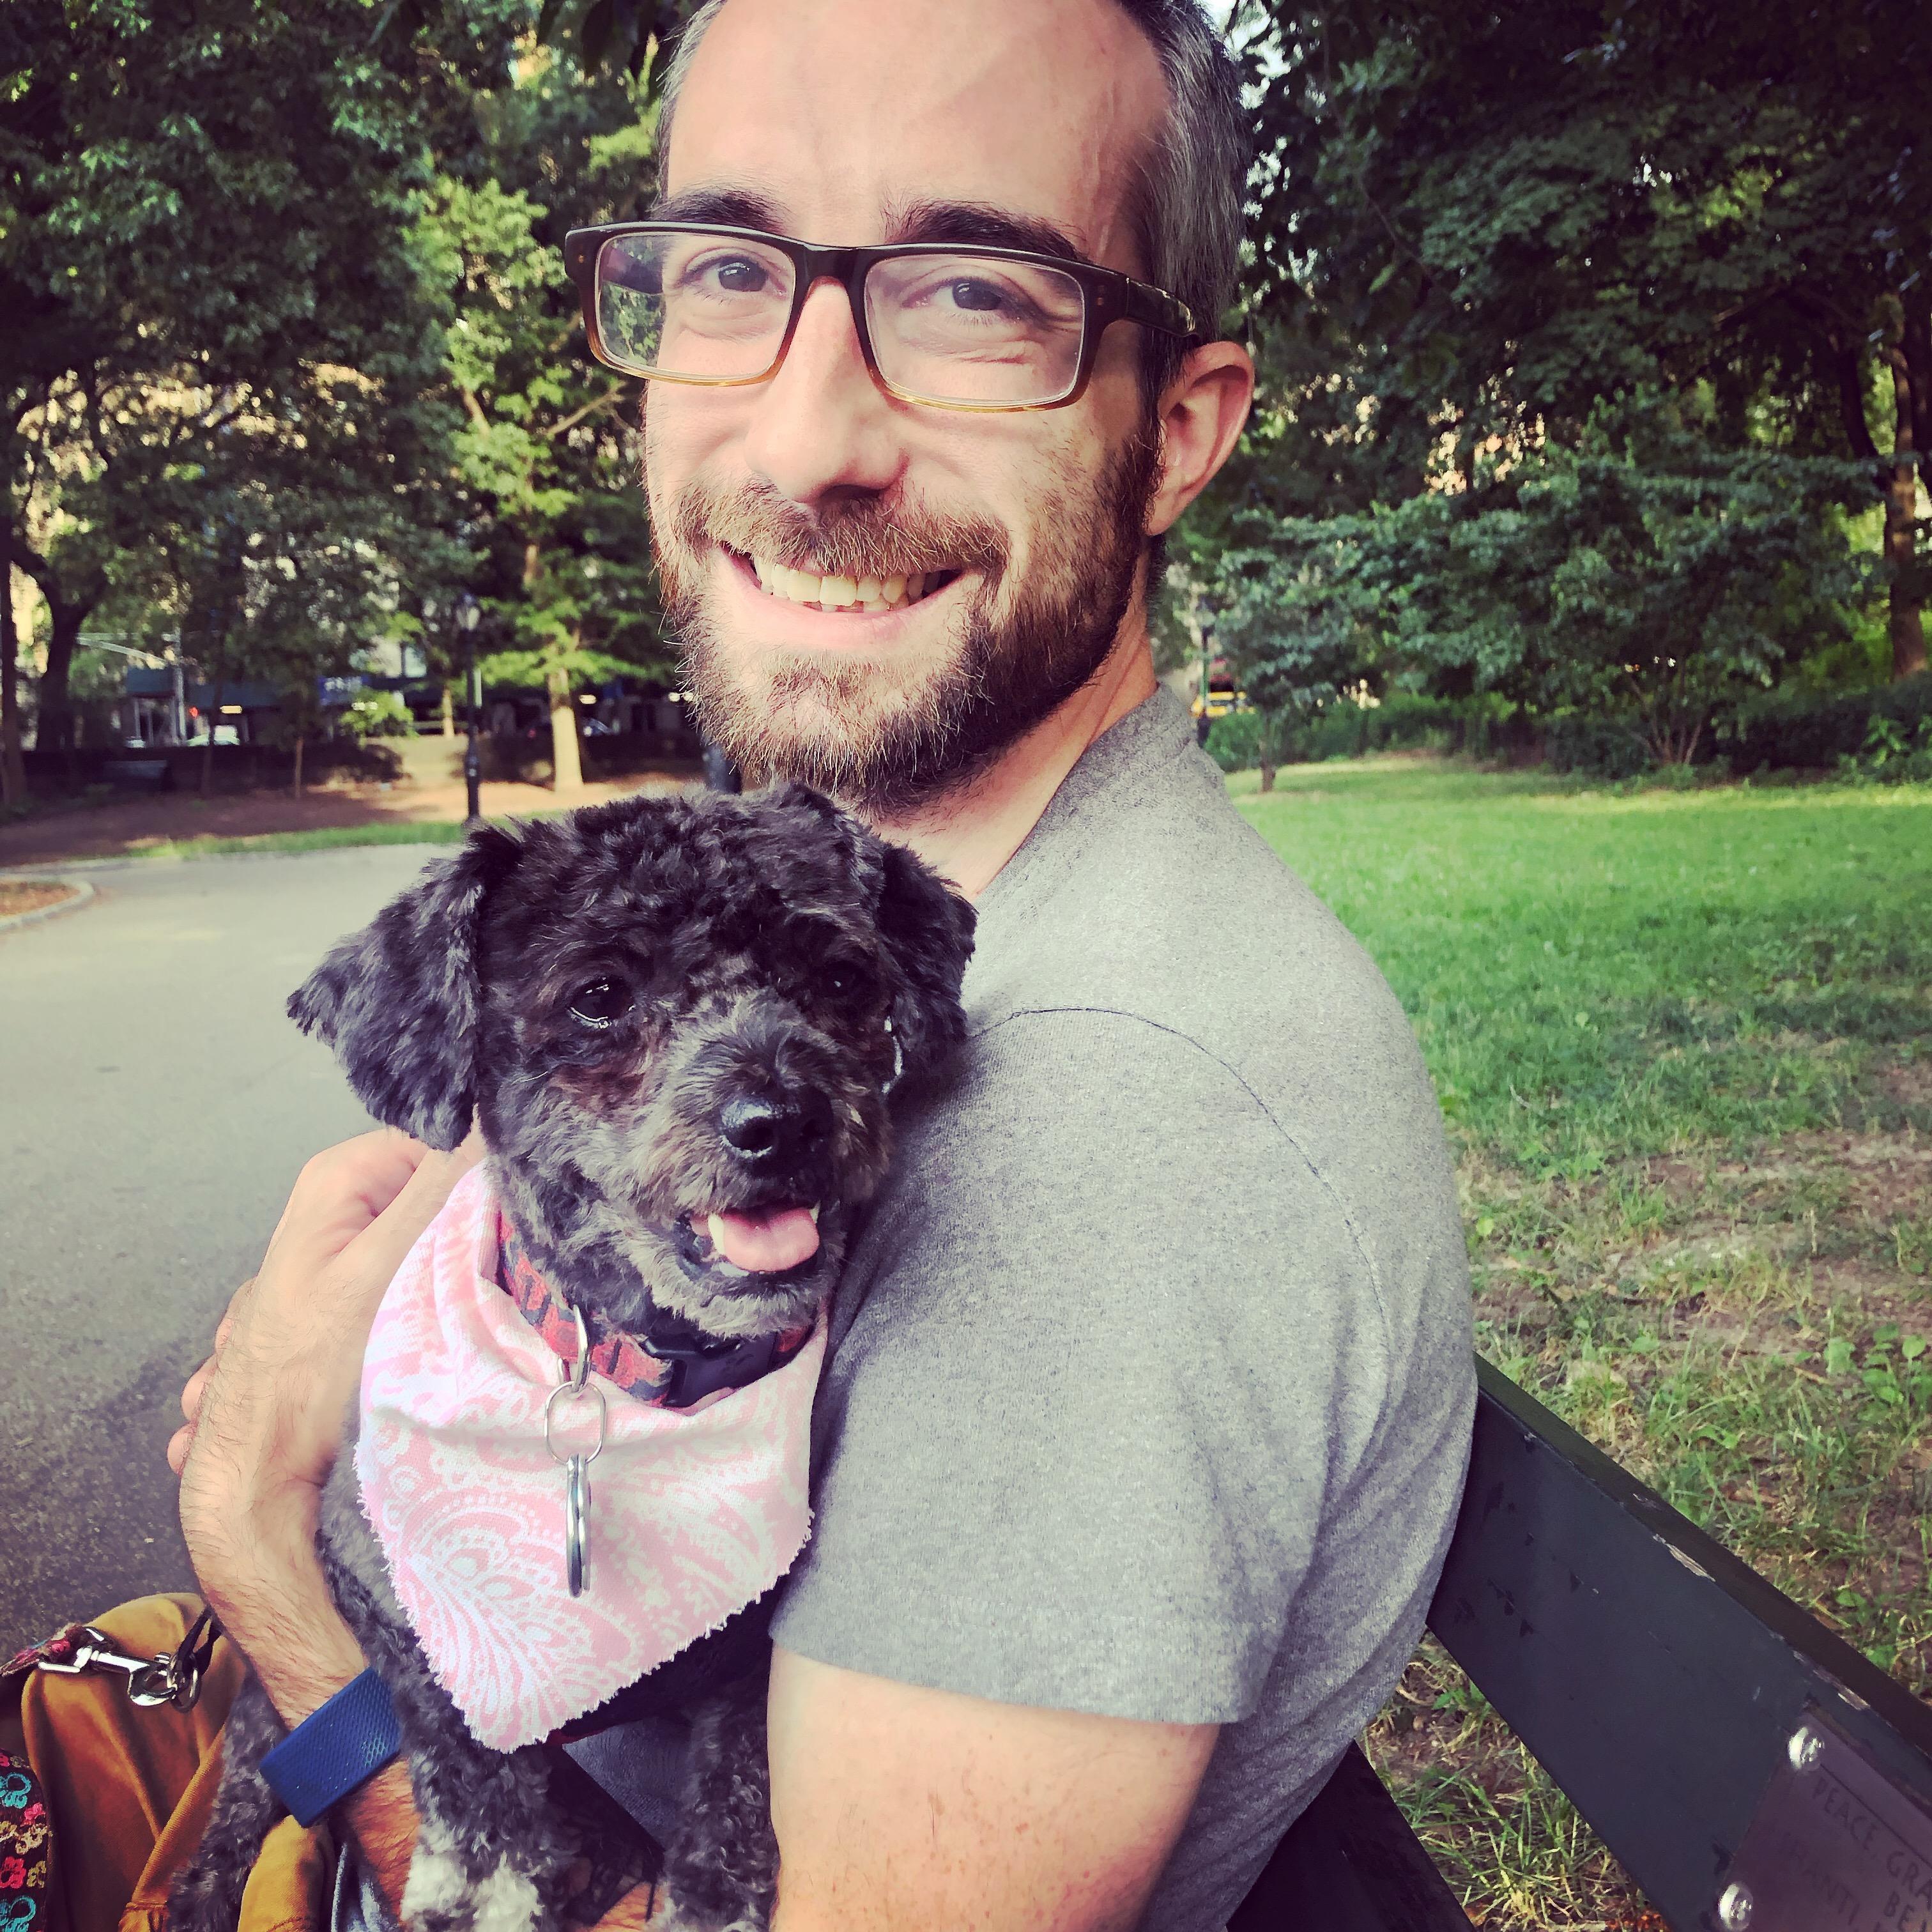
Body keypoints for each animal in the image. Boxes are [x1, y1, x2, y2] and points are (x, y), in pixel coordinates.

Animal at [164, 780, 974, 1932]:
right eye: (598, 994)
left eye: (839, 977)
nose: (785, 1119)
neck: (639, 1375)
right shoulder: (364, 1570)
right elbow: (452, 1725)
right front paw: (487, 1865)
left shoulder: (752, 1638)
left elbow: (741, 1741)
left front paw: (712, 1887)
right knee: (237, 1801)